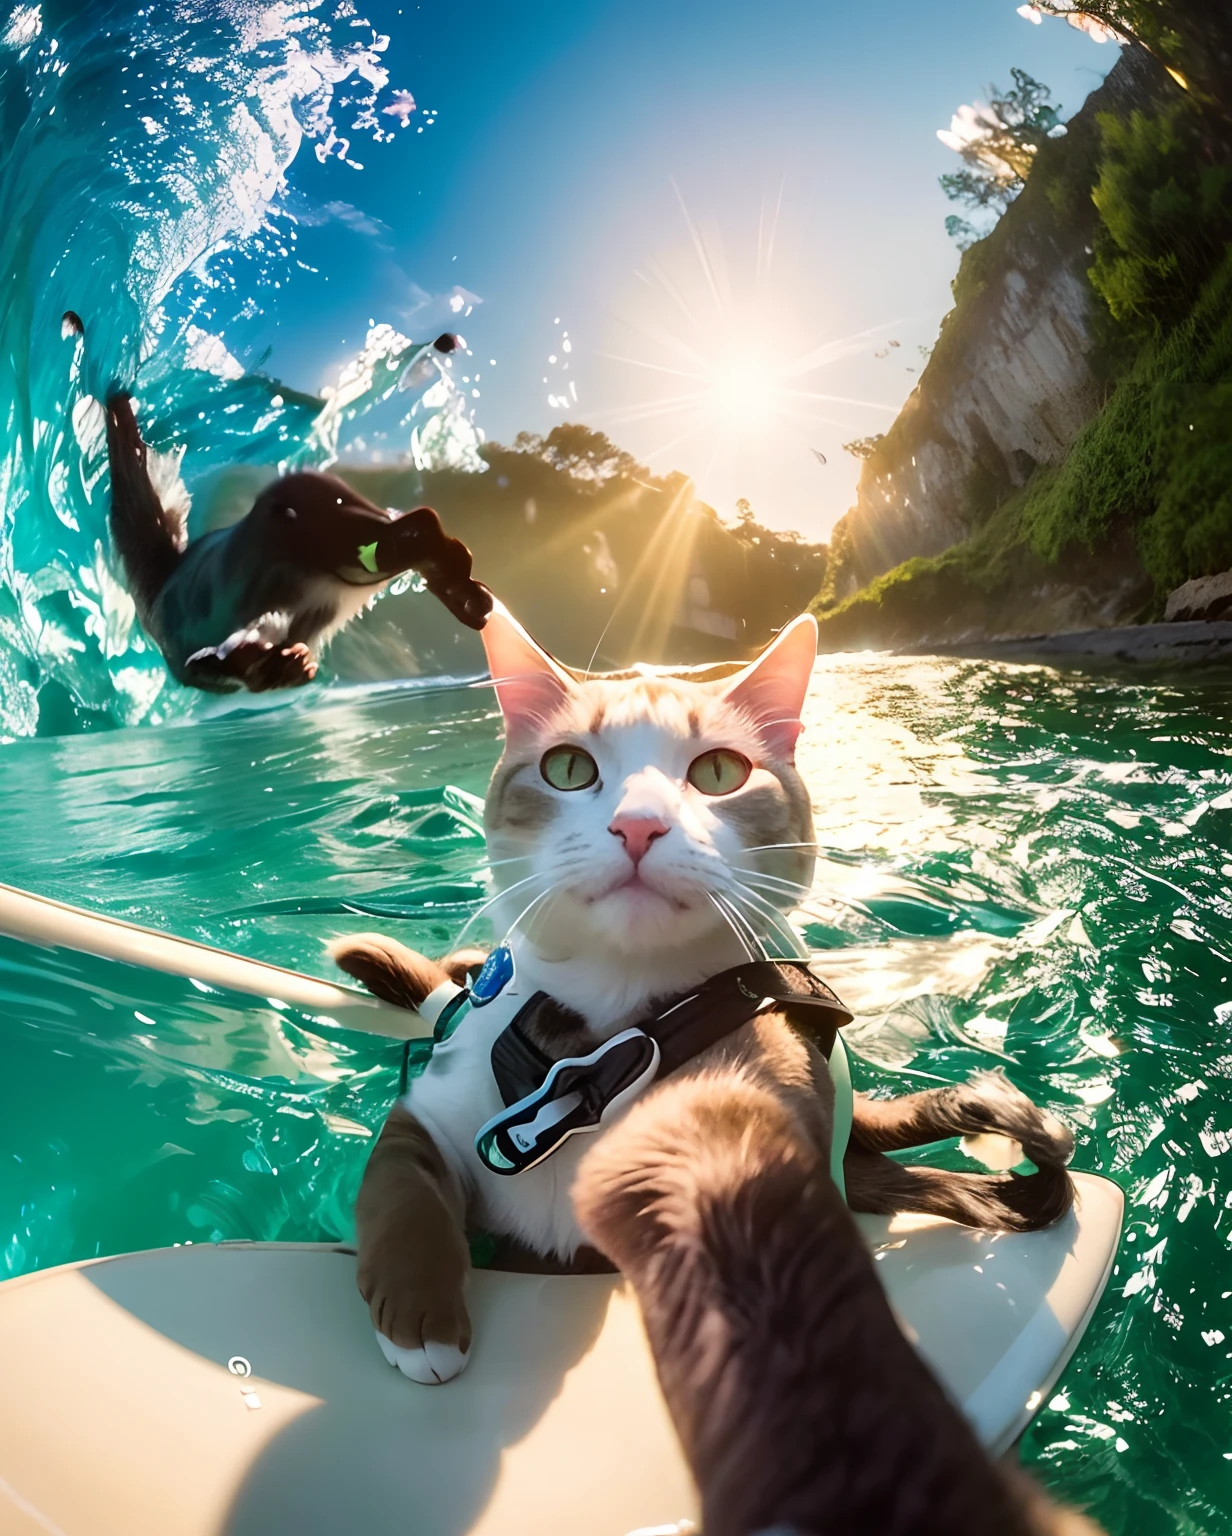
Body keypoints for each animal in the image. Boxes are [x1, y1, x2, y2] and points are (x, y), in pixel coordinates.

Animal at [331, 595, 1069, 1394]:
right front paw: (420, 1315)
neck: (596, 1056)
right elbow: (400, 1187)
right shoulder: (436, 1109)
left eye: (719, 771)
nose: (638, 825)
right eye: (567, 767)